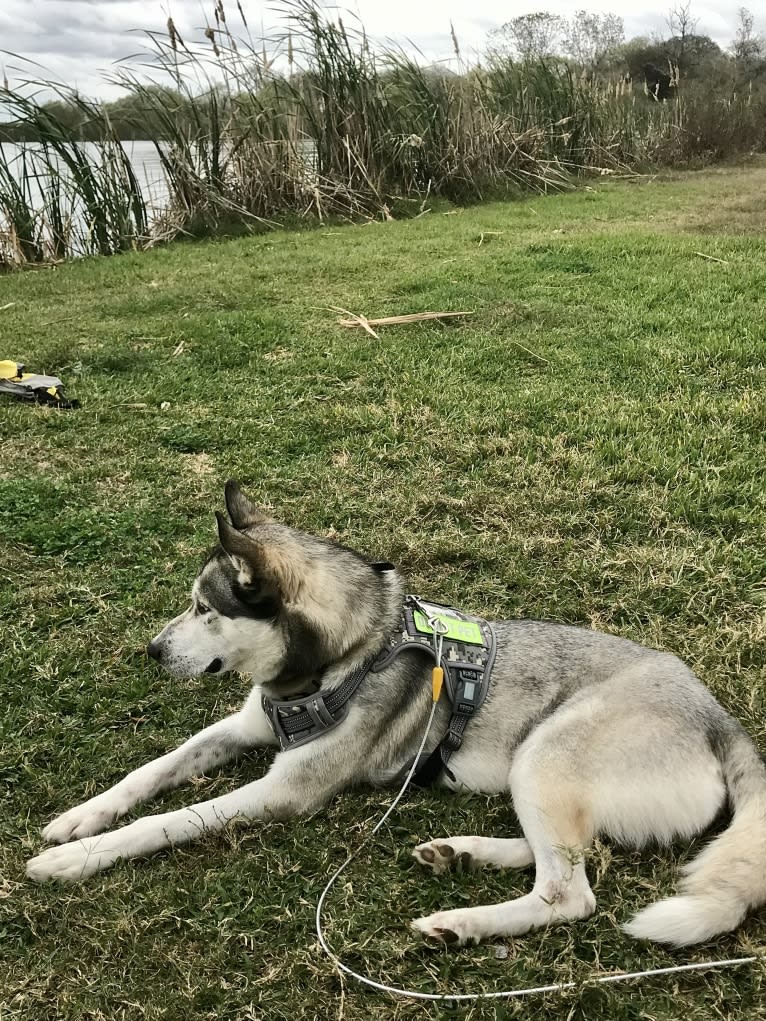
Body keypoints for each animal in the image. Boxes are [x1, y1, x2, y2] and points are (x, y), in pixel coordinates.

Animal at [27, 481, 766, 943]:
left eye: (205, 608)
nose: (151, 650)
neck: (340, 657)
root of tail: (719, 718)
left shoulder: (283, 790)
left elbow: (167, 820)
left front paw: (75, 859)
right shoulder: (243, 726)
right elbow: (153, 770)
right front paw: (80, 818)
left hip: (547, 751)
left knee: (569, 892)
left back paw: (460, 923)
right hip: (540, 774)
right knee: (555, 854)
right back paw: (460, 852)